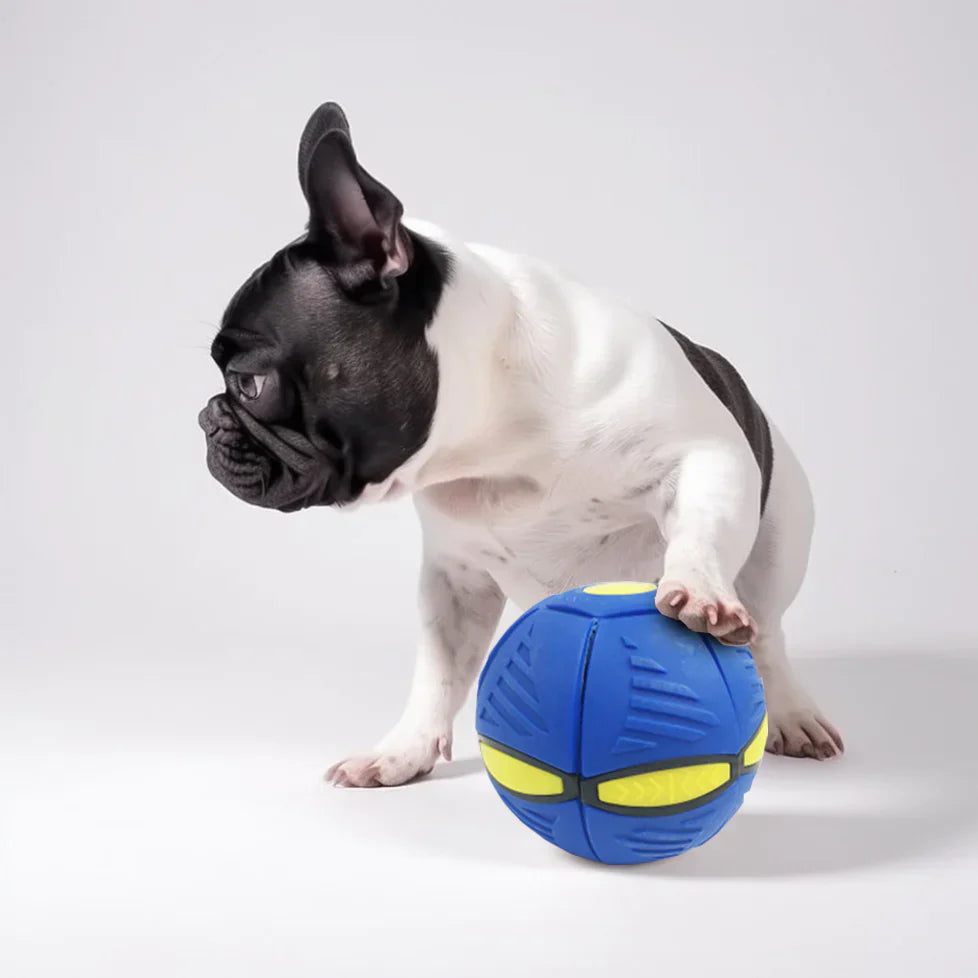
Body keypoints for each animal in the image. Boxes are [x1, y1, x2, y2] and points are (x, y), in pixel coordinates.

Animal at [196, 101, 840, 784]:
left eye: (249, 382)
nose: (207, 419)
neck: (495, 437)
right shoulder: (454, 576)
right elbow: (438, 672)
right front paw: (401, 752)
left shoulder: (704, 454)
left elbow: (701, 529)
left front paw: (696, 589)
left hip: (779, 540)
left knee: (768, 633)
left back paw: (793, 713)